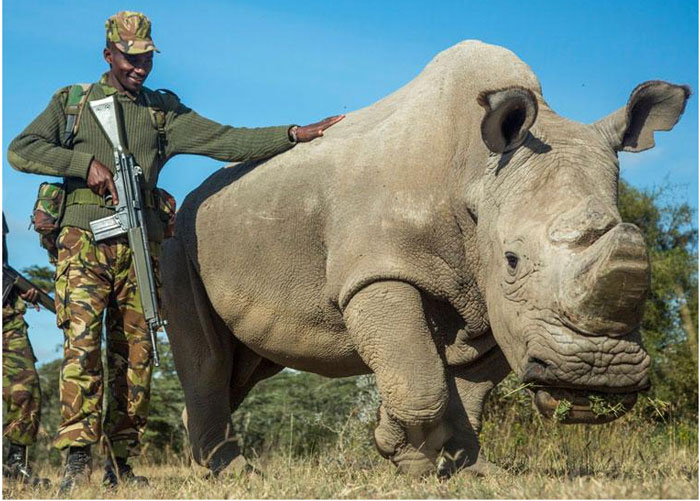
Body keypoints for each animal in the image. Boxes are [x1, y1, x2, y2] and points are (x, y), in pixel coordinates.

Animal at [163, 40, 688, 476]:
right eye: (513, 260)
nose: (599, 375)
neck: (476, 173)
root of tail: (191, 199)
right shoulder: (378, 272)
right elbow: (421, 380)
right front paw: (401, 452)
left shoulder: (490, 297)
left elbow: (470, 388)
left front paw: (467, 470)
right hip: (179, 239)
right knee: (208, 360)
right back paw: (233, 472)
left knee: (248, 365)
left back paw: (208, 461)